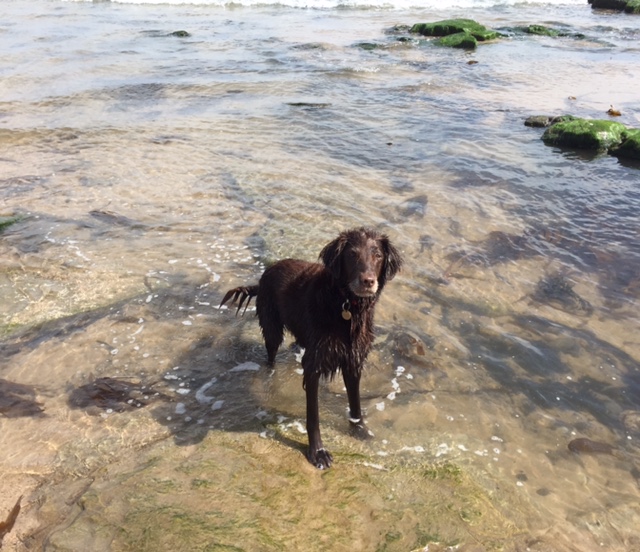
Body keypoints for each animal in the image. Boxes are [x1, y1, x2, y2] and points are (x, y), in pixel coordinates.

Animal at [220, 226, 400, 468]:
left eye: (378, 255)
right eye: (352, 255)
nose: (368, 281)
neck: (344, 305)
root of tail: (266, 272)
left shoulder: (353, 360)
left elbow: (355, 404)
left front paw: (360, 431)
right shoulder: (315, 364)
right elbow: (313, 415)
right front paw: (317, 452)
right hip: (272, 328)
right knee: (271, 357)